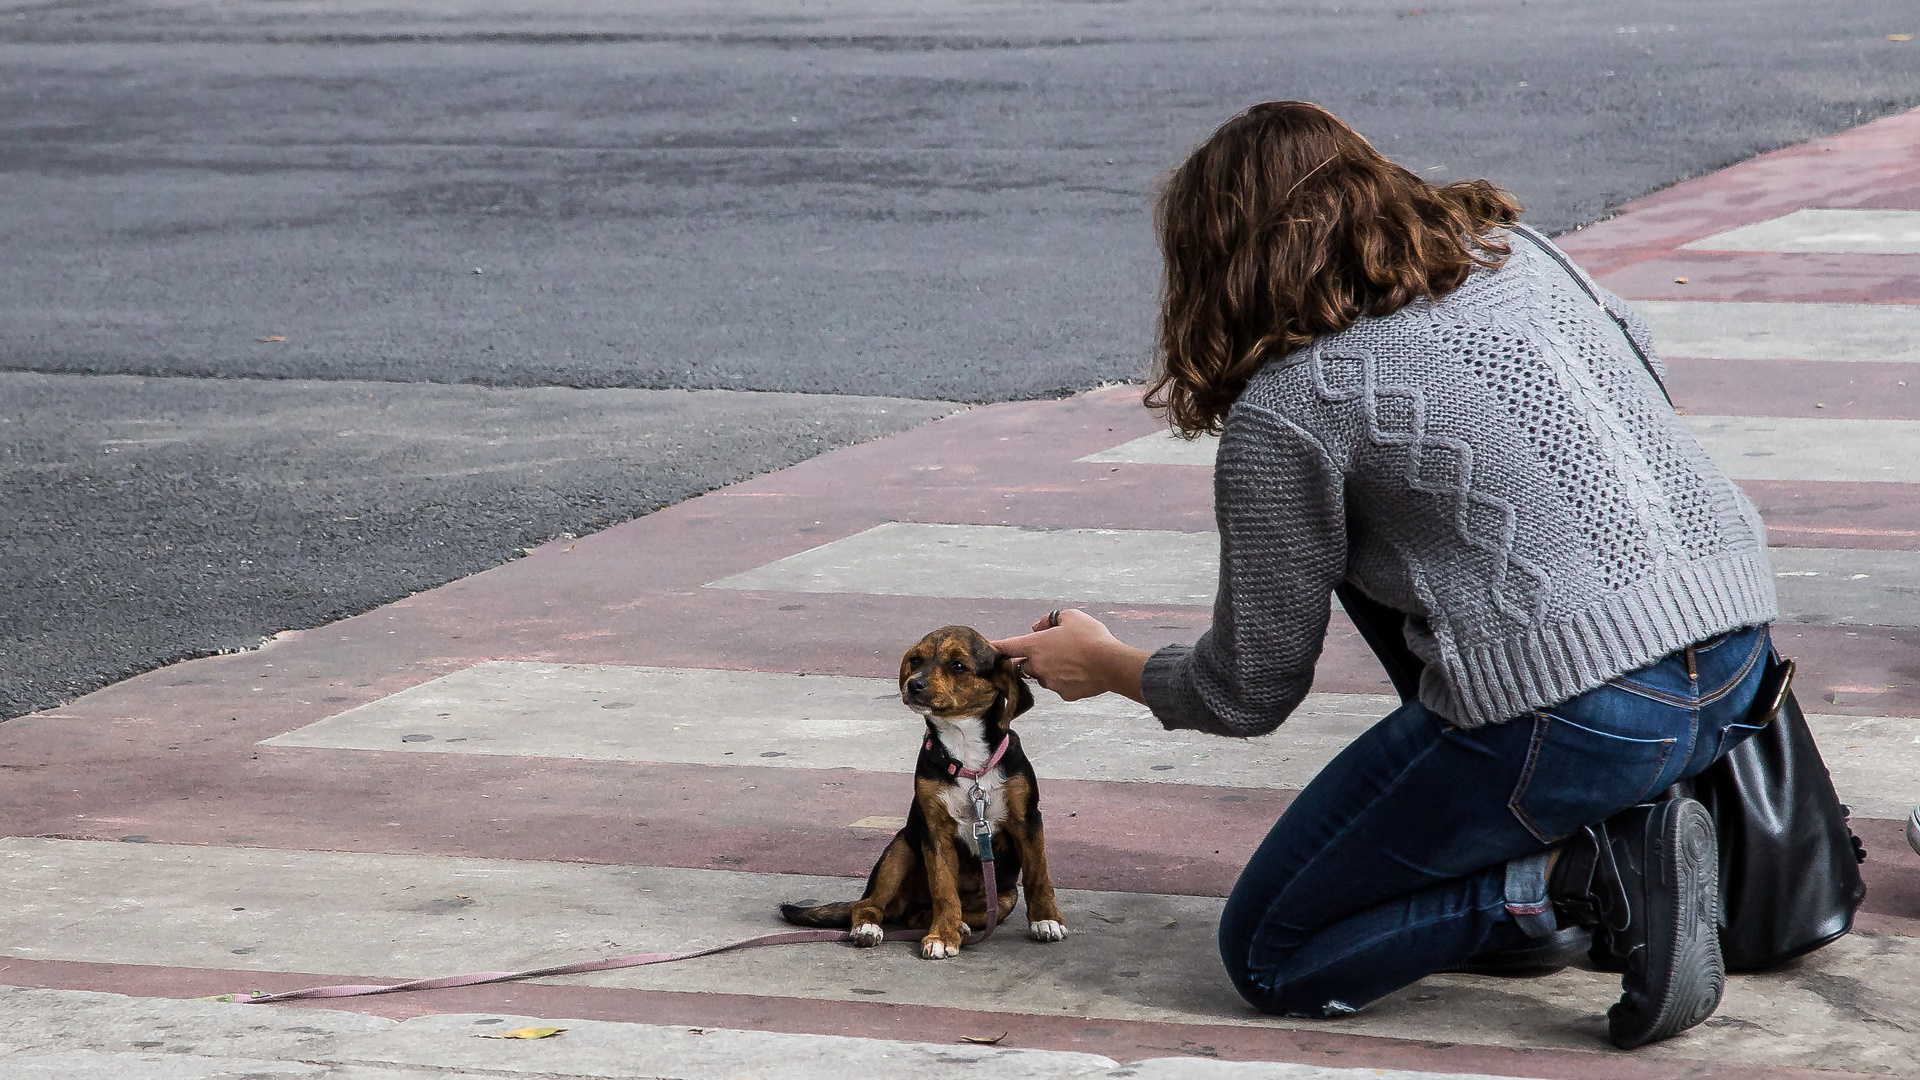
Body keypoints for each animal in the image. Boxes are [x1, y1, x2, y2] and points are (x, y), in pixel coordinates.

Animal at [787, 626, 1075, 953]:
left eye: (958, 665)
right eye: (915, 660)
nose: (913, 684)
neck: (967, 757)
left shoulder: (1028, 822)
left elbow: (1039, 875)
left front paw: (1046, 919)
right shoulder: (935, 831)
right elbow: (944, 889)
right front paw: (942, 936)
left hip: (1004, 898)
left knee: (926, 915)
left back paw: (958, 925)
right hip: (899, 851)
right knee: (869, 905)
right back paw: (869, 928)